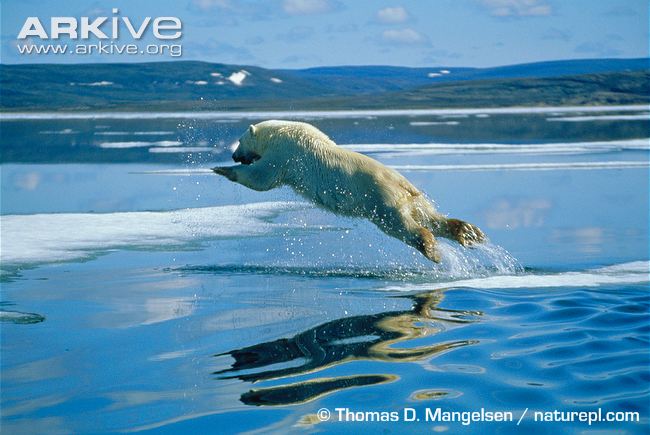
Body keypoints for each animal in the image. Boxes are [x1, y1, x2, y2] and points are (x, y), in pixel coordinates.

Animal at [212, 120, 485, 262]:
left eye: (239, 142)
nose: (234, 156)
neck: (281, 131)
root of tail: (404, 185)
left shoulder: (285, 154)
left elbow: (262, 179)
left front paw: (221, 169)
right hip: (413, 200)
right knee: (431, 218)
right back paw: (468, 232)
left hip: (380, 199)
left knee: (403, 225)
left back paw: (431, 250)